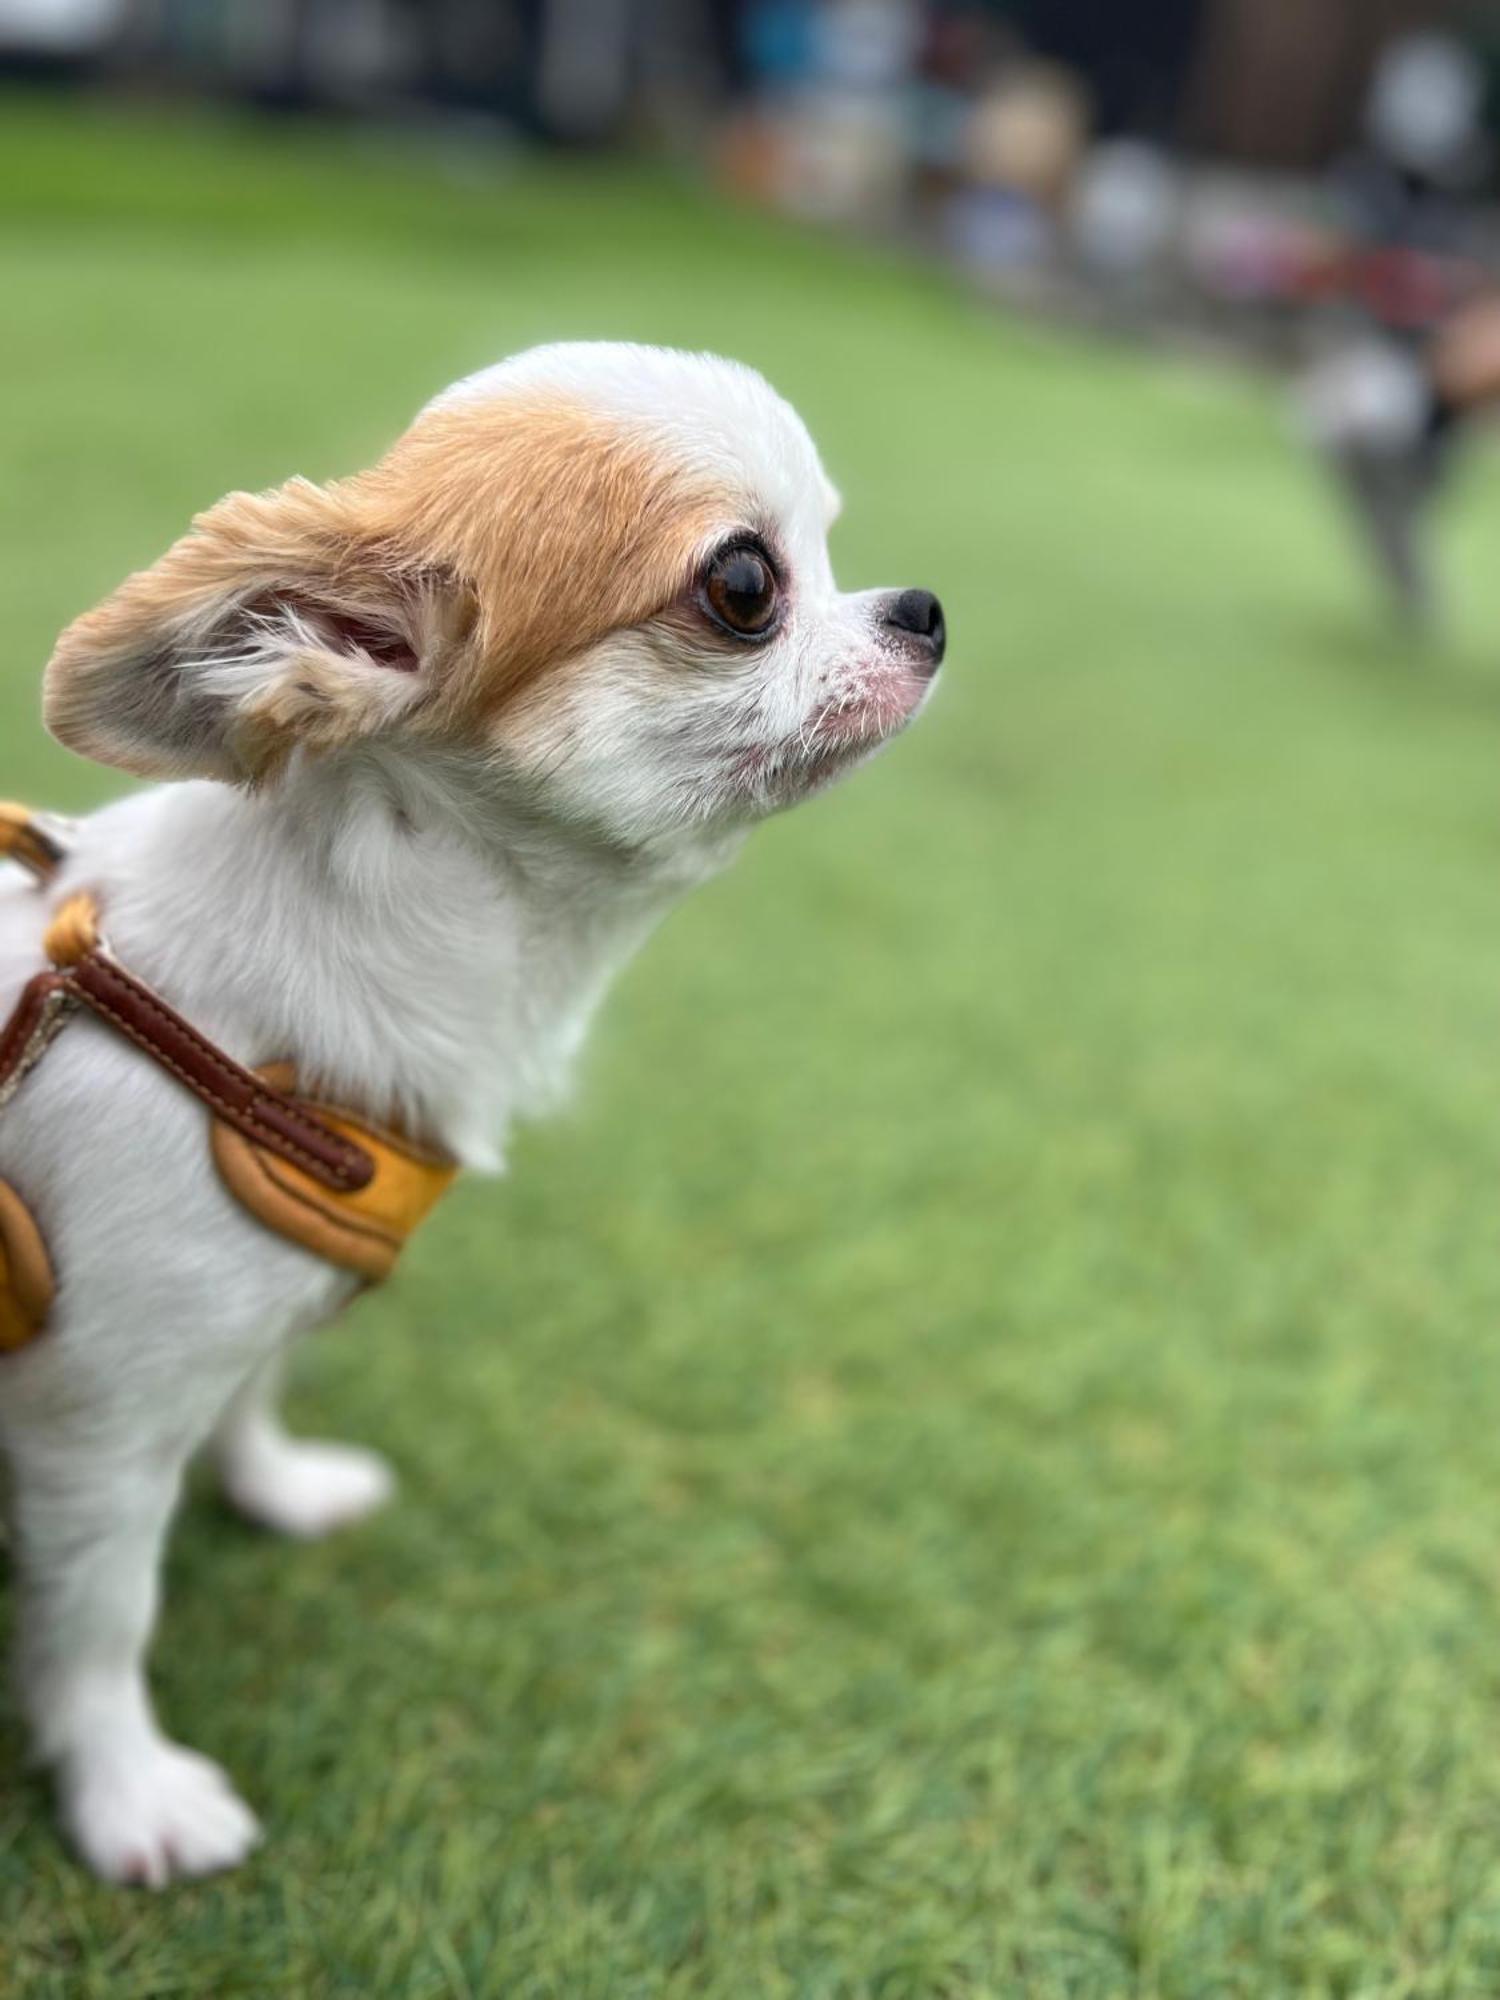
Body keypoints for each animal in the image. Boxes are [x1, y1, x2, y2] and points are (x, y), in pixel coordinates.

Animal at [0, 336, 940, 1880]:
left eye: (833, 545)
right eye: (748, 586)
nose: (922, 608)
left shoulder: (262, 1285)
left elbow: (255, 1387)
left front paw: (274, 1483)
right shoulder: (95, 1433)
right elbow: (97, 1625)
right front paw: (128, 1794)